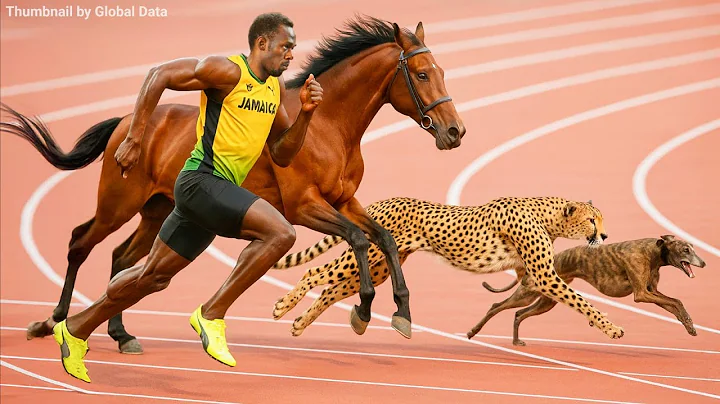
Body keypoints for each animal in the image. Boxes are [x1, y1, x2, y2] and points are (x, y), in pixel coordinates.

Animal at [270, 196, 625, 341]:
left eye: (601, 219)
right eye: (592, 220)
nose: (605, 235)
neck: (547, 214)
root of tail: (384, 201)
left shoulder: (532, 276)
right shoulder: (544, 276)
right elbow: (581, 301)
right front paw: (610, 327)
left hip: (378, 267)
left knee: (331, 290)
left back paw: (300, 323)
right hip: (367, 258)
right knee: (314, 274)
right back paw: (284, 306)